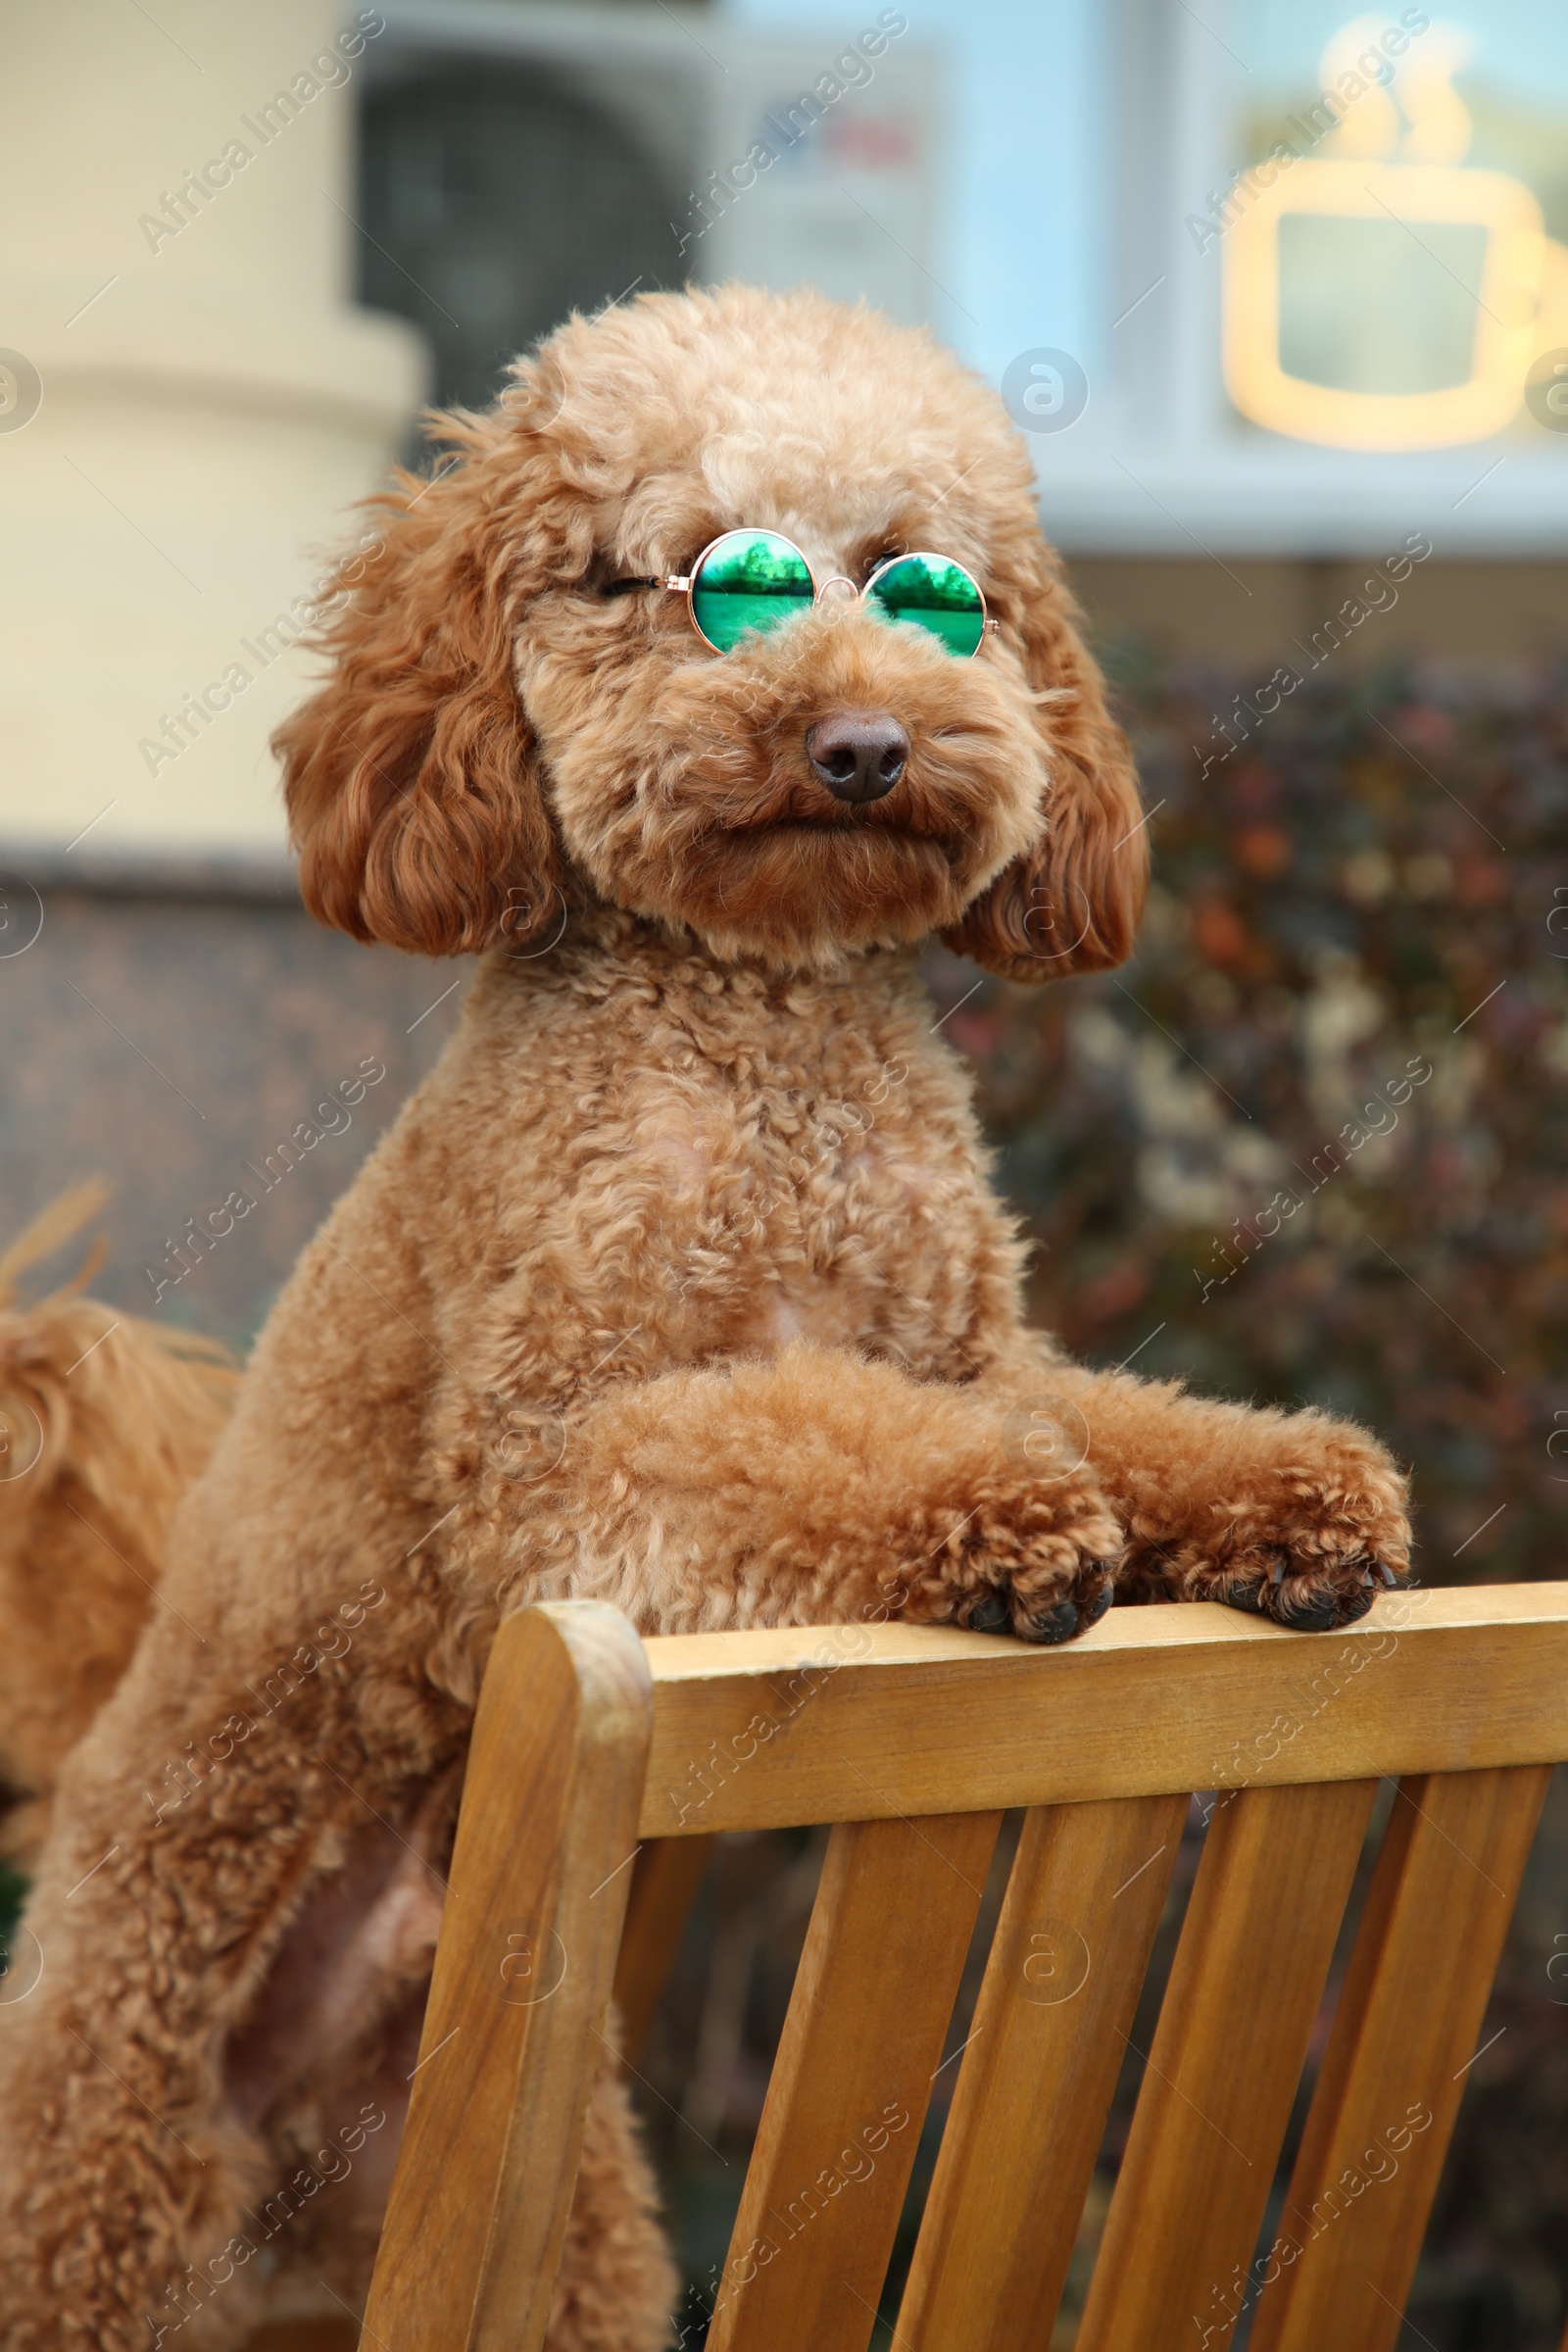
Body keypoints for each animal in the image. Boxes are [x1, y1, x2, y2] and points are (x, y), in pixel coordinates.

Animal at [0, 294, 1410, 2352]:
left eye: (934, 590)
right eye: (711, 582)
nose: (864, 742)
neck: (769, 1021)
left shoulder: (965, 1352)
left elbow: (1118, 1421)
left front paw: (1293, 1502)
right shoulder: (547, 1471)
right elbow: (800, 1446)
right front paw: (1011, 1528)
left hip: (567, 2216)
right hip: (113, 2145)